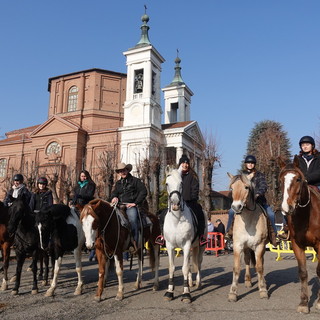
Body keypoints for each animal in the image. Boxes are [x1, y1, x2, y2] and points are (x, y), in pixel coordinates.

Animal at [164, 166, 206, 304]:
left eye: (181, 183)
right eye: (167, 184)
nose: (175, 204)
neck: (177, 220)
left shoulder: (187, 245)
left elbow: (185, 268)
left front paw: (186, 293)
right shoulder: (170, 246)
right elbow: (172, 268)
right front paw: (169, 292)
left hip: (200, 246)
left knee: (198, 263)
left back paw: (198, 283)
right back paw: (191, 282)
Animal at [226, 174, 268, 302]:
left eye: (246, 187)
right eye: (232, 188)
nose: (236, 207)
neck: (248, 221)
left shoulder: (260, 246)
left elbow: (259, 267)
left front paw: (263, 290)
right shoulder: (237, 245)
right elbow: (236, 268)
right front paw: (233, 293)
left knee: (260, 263)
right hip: (246, 248)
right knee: (247, 260)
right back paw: (248, 281)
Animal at [278, 156, 320, 314]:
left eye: (298, 179)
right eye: (281, 180)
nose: (286, 207)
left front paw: (319, 302)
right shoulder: (297, 245)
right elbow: (302, 272)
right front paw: (303, 303)